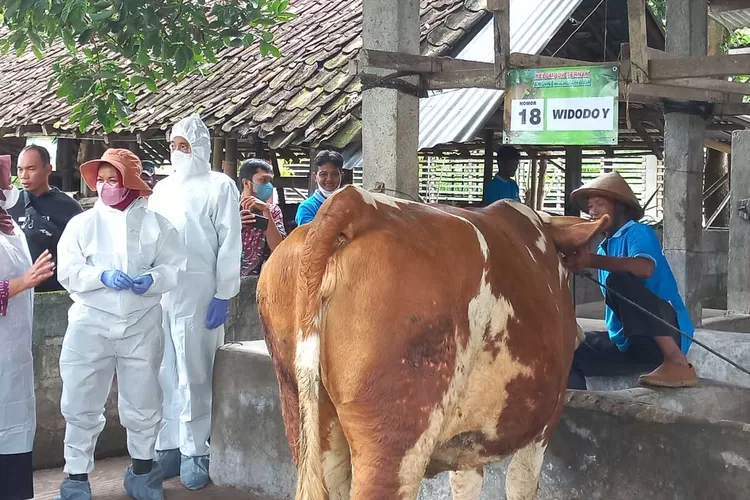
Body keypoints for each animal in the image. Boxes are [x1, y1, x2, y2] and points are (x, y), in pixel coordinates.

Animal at [258, 186, 604, 498]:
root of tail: (356, 202)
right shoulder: (543, 424)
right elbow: (521, 483)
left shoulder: (468, 445)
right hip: (397, 436)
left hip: (304, 413)